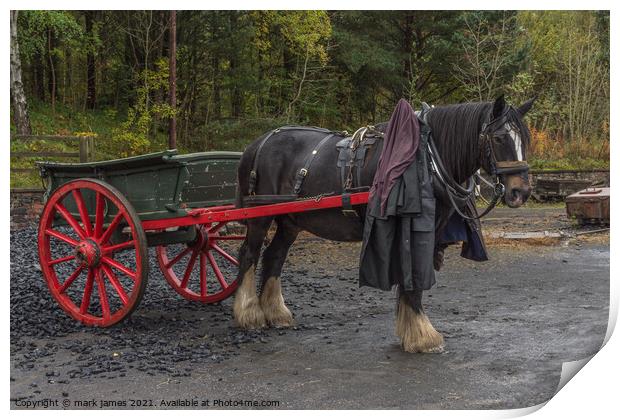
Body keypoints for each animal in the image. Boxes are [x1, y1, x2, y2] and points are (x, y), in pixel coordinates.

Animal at [231, 94, 532, 352]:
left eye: (525, 139)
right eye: (499, 137)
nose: (521, 191)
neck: (428, 159)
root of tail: (256, 145)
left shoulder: (432, 232)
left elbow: (412, 281)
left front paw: (411, 330)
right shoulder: (411, 229)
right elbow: (413, 280)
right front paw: (423, 336)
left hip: (291, 220)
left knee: (274, 256)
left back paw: (276, 313)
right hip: (259, 216)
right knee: (249, 254)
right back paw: (250, 313)